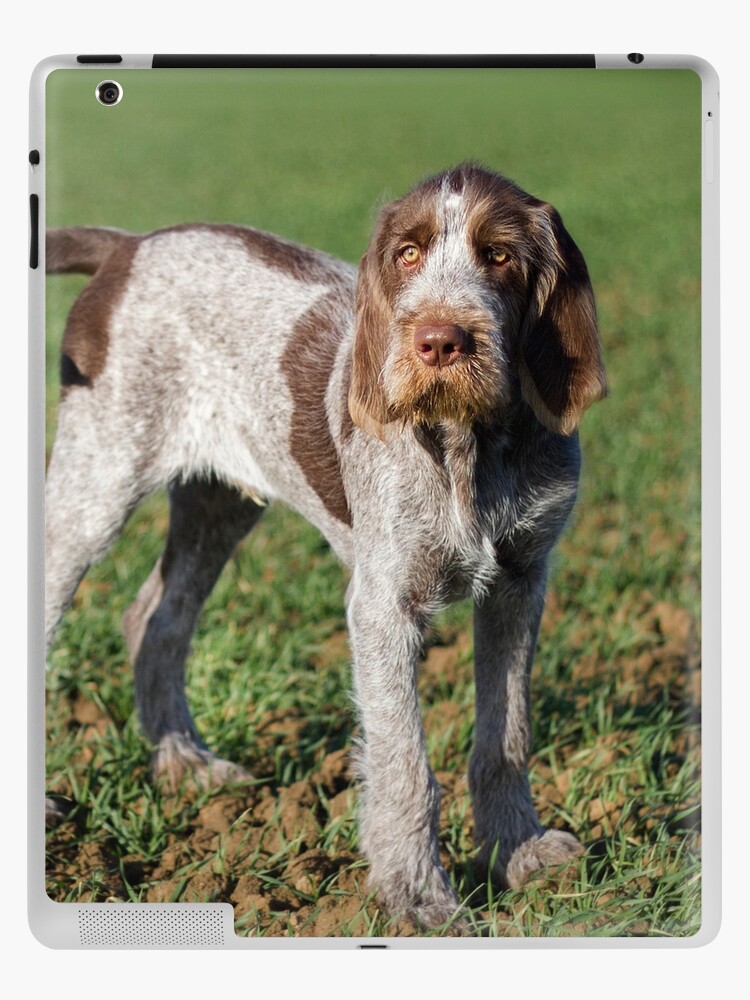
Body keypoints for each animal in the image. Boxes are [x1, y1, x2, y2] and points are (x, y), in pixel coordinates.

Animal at [47, 166, 608, 928]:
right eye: (407, 254)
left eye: (499, 256)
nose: (440, 341)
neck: (471, 443)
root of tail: (128, 247)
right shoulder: (384, 605)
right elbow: (404, 766)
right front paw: (417, 897)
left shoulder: (522, 581)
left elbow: (506, 736)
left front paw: (518, 852)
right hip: (95, 484)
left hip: (217, 503)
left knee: (155, 619)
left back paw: (187, 765)